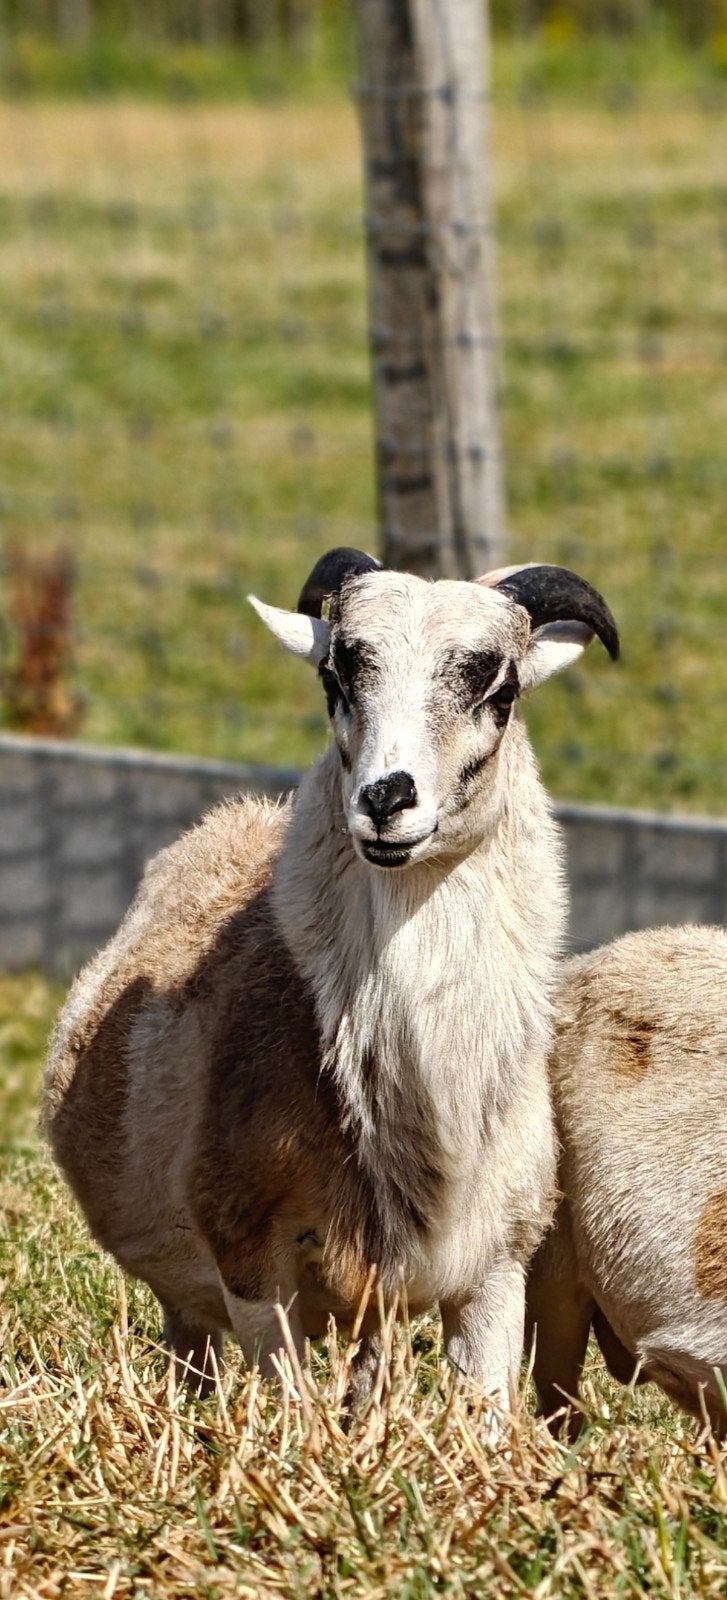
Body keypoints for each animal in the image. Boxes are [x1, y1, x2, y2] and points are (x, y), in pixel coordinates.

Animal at [43, 547, 618, 1411]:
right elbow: (287, 1406)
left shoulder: (496, 1263)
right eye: (334, 677)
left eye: (501, 689)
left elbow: (484, 1410)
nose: (385, 798)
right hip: (191, 1299)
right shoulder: (250, 1259)